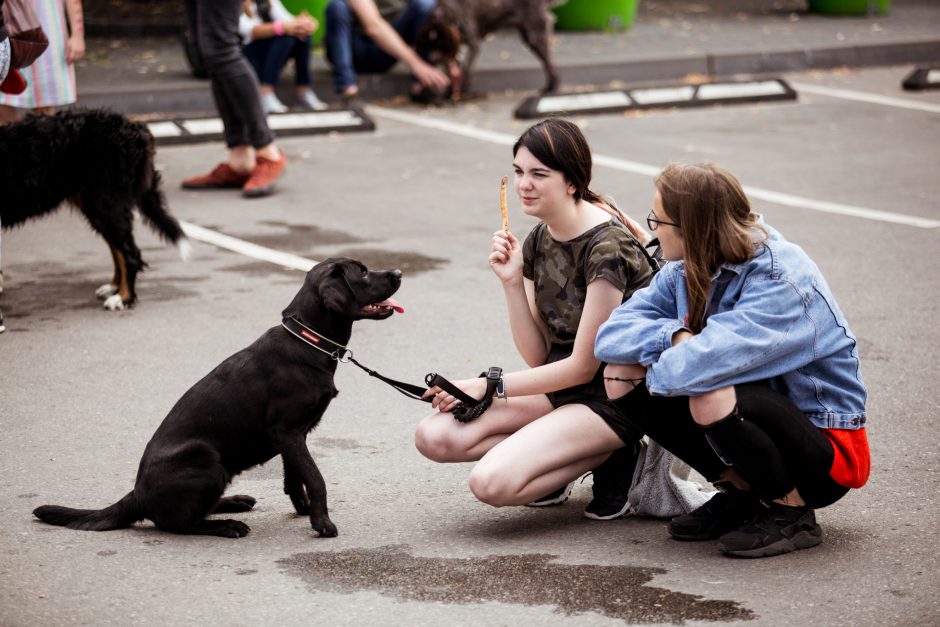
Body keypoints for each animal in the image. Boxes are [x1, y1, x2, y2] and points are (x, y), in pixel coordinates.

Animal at [0, 110, 191, 314]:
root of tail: (135, 128)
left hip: (106, 203)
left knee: (129, 253)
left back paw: (123, 298)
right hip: (97, 207)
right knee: (117, 249)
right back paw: (114, 287)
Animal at [32, 258, 404, 540]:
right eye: (363, 273)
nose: (400, 273)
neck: (307, 339)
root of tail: (136, 494)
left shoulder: (291, 435)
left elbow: (294, 475)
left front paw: (302, 509)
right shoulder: (288, 432)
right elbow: (315, 477)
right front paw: (322, 522)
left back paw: (235, 502)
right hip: (206, 459)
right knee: (177, 523)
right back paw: (228, 525)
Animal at [416, 0, 560, 97]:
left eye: (441, 44)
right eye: (429, 44)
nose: (432, 58)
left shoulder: (474, 44)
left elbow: (466, 70)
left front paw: (461, 90)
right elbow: (454, 70)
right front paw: (451, 91)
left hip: (536, 35)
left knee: (551, 66)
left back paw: (551, 89)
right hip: (529, 38)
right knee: (549, 66)